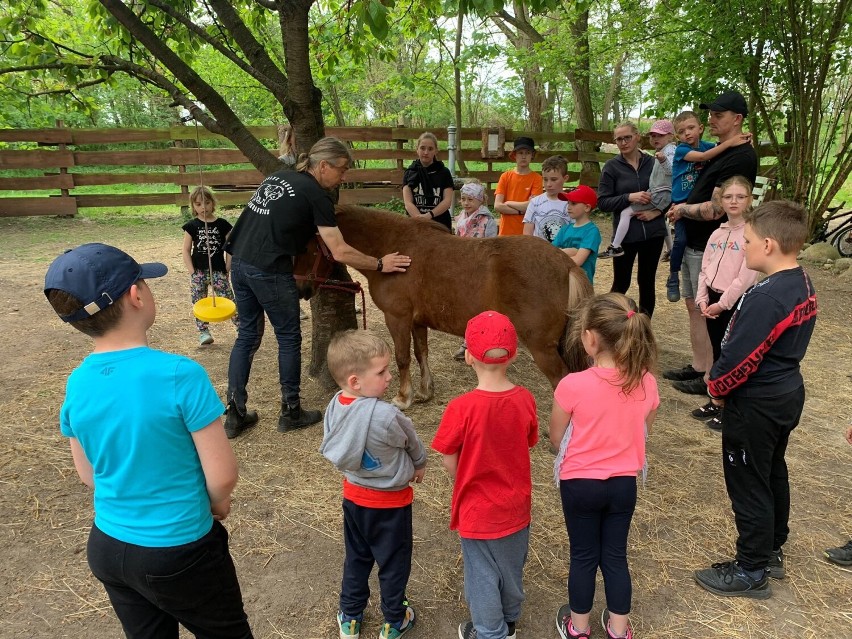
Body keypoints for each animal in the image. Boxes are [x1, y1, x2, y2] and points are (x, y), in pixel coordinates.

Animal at [298, 205, 592, 410]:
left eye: (306, 249)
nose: (302, 290)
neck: (394, 250)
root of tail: (566, 265)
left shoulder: (398, 318)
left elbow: (402, 357)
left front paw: (403, 397)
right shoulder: (417, 321)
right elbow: (421, 354)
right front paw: (425, 392)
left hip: (543, 347)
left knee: (562, 380)